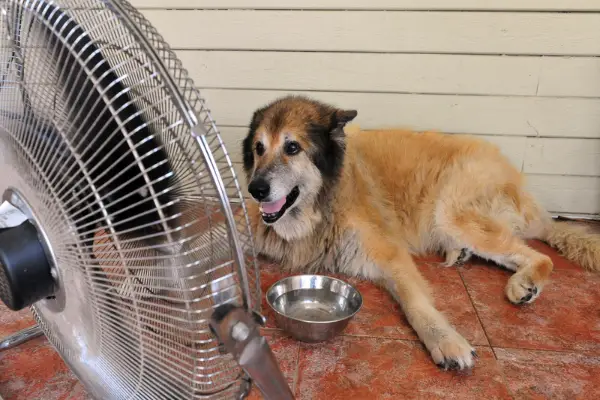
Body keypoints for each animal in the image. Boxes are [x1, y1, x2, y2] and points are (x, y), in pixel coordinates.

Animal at [237, 95, 596, 370]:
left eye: (292, 147)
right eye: (258, 148)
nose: (256, 189)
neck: (319, 205)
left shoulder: (388, 254)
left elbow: (415, 301)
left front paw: (445, 340)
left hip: (451, 212)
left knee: (539, 255)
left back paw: (525, 283)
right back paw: (462, 255)